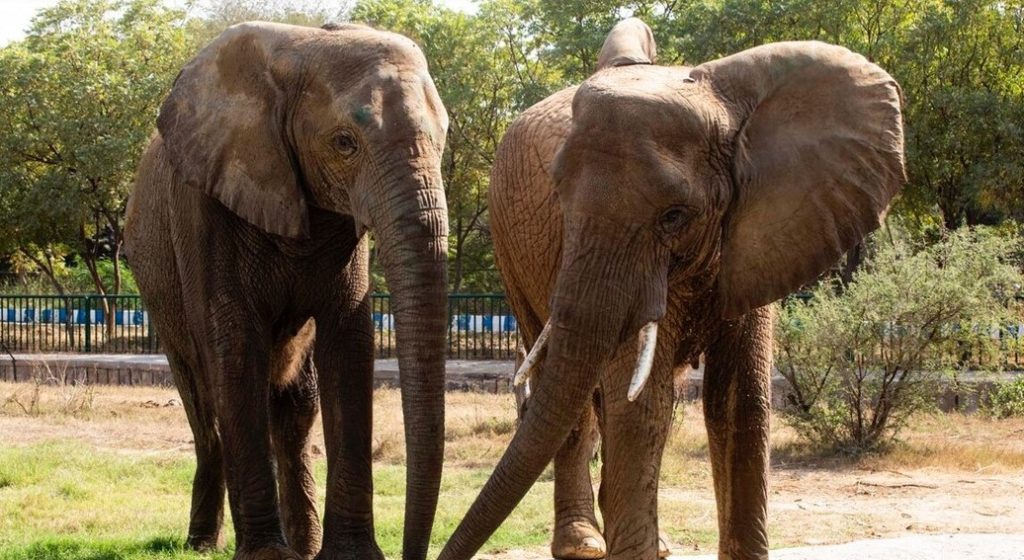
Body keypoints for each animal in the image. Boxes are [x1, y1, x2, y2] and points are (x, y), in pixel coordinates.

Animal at [124, 22, 449, 560]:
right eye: (344, 142)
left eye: (443, 139)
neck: (300, 48)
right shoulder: (202, 202)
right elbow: (234, 346)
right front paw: (266, 557)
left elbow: (349, 342)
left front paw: (351, 555)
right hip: (158, 292)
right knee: (204, 403)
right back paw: (202, 544)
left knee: (296, 407)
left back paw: (305, 544)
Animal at [439, 18, 905, 560]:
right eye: (558, 198)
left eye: (675, 216)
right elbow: (643, 405)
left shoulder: (759, 231)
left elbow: (739, 401)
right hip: (510, 247)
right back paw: (583, 545)